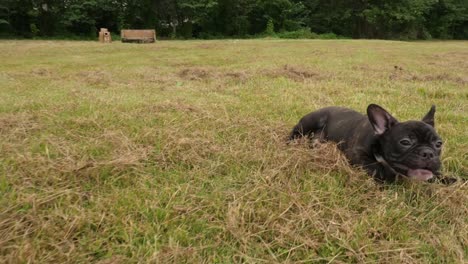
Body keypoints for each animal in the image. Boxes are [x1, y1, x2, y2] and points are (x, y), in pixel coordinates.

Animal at [288, 104, 446, 183]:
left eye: (439, 144)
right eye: (405, 142)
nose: (428, 153)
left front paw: (444, 178)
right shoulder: (357, 154)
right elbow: (376, 167)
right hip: (310, 122)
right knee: (294, 132)